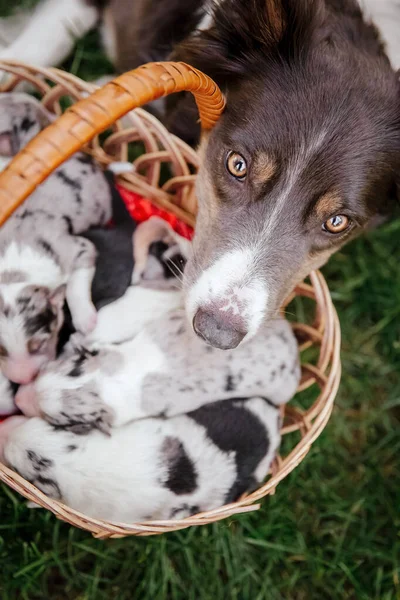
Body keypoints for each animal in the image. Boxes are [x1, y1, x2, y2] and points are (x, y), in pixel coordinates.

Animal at [0, 94, 113, 384]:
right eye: (0, 351)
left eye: (40, 344)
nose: (23, 381)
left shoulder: (78, 248)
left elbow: (76, 281)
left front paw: (85, 320)